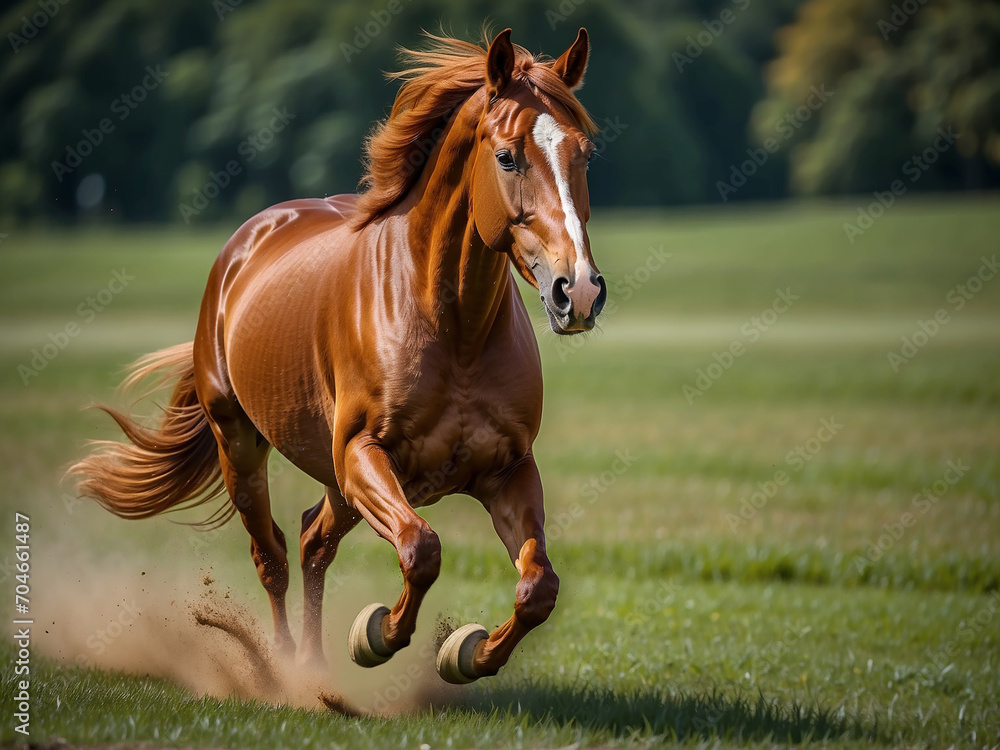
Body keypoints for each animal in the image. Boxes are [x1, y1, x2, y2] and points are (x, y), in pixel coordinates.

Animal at [71, 27, 606, 685]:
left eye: (584, 155)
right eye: (507, 156)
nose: (577, 291)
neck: (453, 331)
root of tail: (244, 246)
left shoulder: (507, 470)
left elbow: (538, 588)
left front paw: (467, 654)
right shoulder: (361, 455)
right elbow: (422, 550)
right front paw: (377, 635)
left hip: (334, 482)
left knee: (311, 542)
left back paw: (314, 665)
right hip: (243, 447)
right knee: (273, 554)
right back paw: (283, 672)